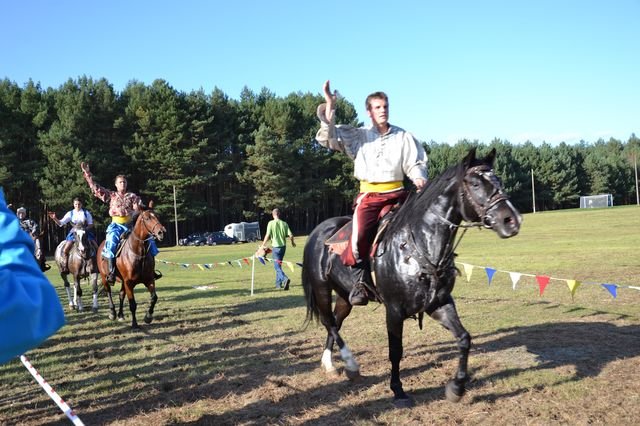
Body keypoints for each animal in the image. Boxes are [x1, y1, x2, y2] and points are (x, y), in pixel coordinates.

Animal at [302, 148, 523, 407]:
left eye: (498, 180)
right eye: (476, 183)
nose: (512, 220)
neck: (419, 245)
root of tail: (319, 231)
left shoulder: (439, 303)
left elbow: (464, 338)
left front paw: (456, 388)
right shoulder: (394, 310)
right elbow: (395, 351)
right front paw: (398, 389)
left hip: (345, 296)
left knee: (335, 322)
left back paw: (330, 364)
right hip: (321, 289)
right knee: (329, 322)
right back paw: (350, 364)